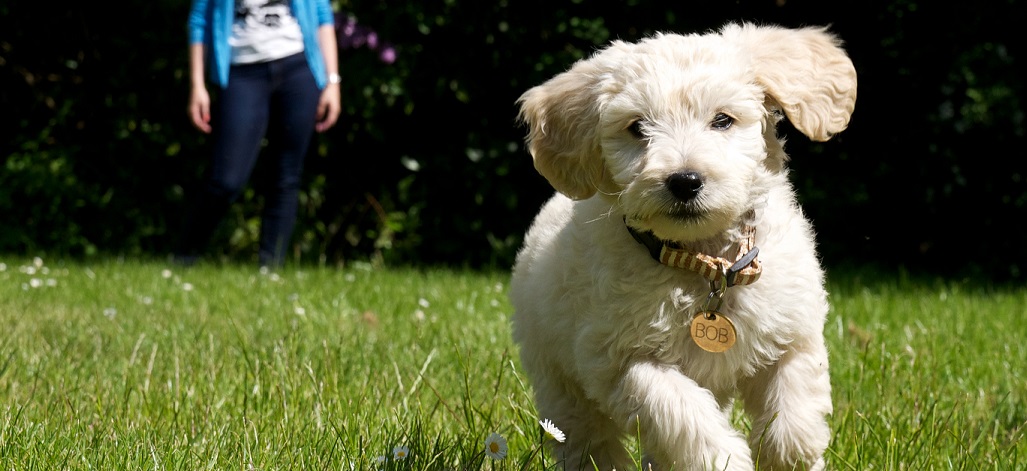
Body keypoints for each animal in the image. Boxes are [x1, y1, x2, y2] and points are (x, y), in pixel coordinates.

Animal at [509, 22, 854, 471]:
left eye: (722, 120)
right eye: (637, 127)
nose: (685, 181)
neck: (703, 262)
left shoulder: (791, 329)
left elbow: (795, 396)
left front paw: (790, 452)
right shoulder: (621, 359)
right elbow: (679, 411)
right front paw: (726, 457)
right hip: (558, 380)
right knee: (587, 439)